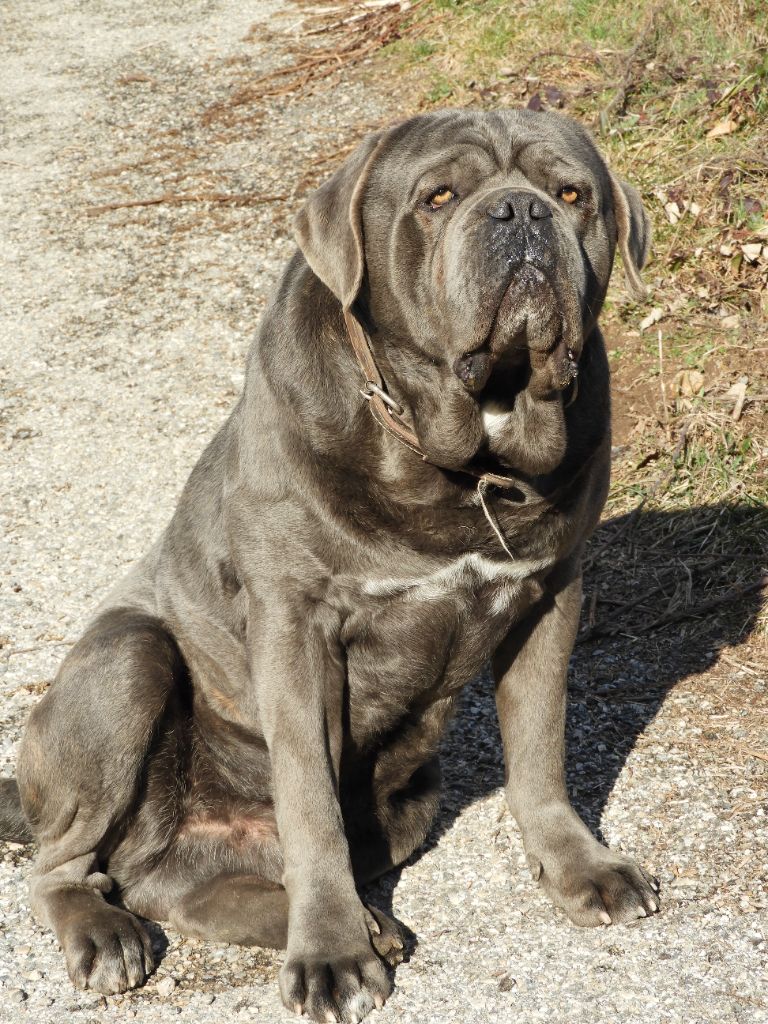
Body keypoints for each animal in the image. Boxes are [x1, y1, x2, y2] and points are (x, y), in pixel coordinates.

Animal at [1, 108, 663, 1019]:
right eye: (438, 197)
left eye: (571, 195)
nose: (521, 213)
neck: (459, 453)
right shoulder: (297, 626)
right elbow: (310, 800)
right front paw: (330, 956)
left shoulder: (549, 594)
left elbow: (541, 753)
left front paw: (582, 868)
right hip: (125, 663)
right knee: (64, 865)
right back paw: (113, 934)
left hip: (406, 801)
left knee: (167, 884)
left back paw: (353, 922)